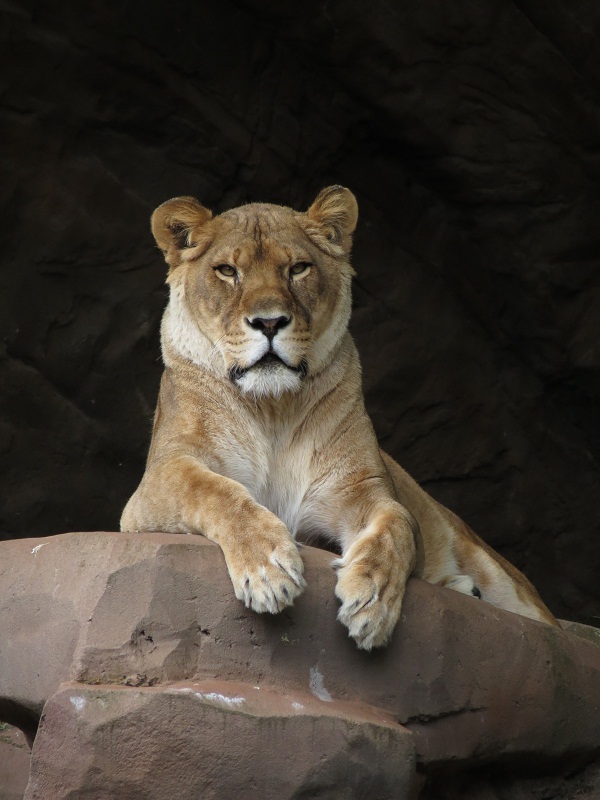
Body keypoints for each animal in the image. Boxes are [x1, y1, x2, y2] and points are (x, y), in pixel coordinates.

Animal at [121, 185, 558, 650]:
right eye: (226, 271)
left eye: (297, 268)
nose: (269, 323)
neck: (272, 409)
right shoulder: (157, 482)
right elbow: (217, 492)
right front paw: (267, 570)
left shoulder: (361, 490)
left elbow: (397, 527)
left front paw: (371, 601)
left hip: (500, 574)